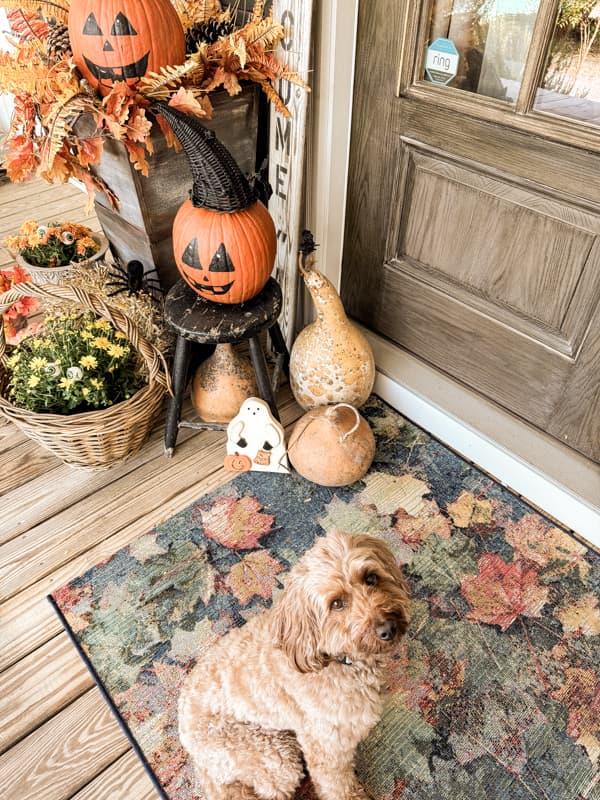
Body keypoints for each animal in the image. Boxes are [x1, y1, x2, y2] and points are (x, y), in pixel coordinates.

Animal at [178, 532, 410, 800]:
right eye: (337, 604)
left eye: (370, 577)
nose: (387, 629)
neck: (336, 659)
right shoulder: (325, 747)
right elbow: (338, 786)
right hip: (272, 756)